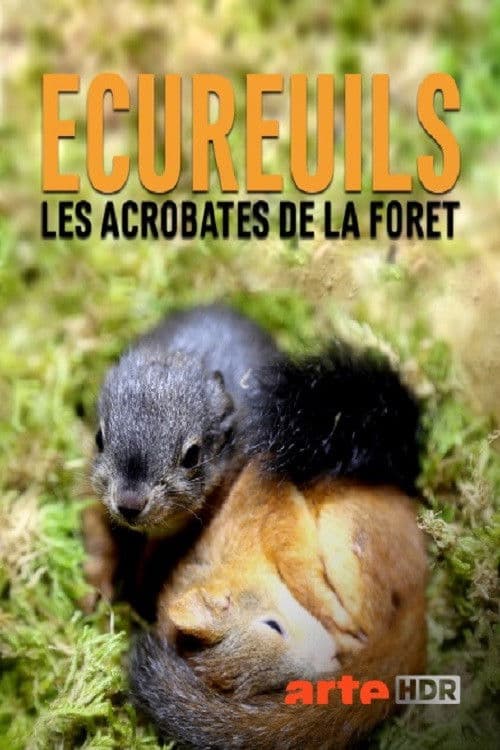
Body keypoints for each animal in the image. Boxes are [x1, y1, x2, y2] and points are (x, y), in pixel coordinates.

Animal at [129, 460, 427, 749]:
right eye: (272, 687)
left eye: (273, 625)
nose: (329, 663)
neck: (224, 554)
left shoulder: (275, 518)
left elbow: (305, 579)